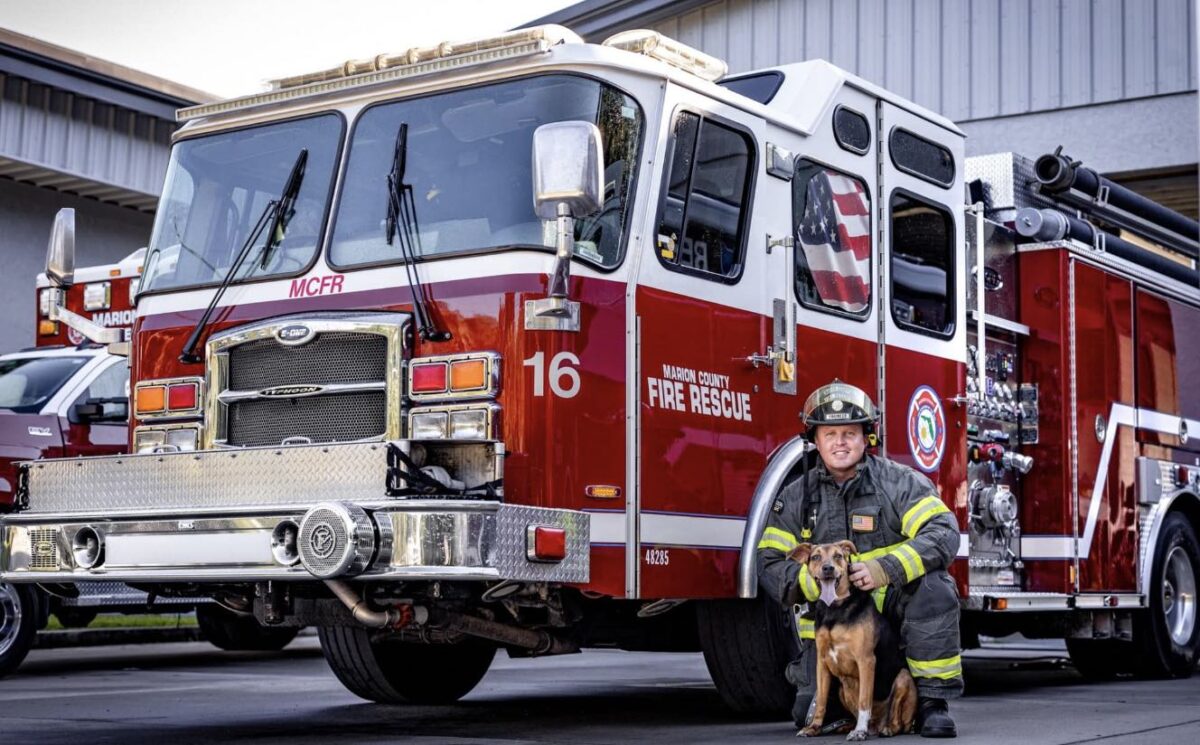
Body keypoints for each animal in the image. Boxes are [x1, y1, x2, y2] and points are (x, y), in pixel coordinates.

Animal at [792, 539, 912, 739]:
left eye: (838, 556)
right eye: (815, 557)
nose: (828, 568)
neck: (835, 609)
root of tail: (877, 725)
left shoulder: (866, 660)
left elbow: (864, 700)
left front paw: (859, 731)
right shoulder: (822, 663)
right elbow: (821, 701)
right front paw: (814, 727)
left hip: (903, 679)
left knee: (898, 721)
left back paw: (885, 728)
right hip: (842, 689)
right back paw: (847, 726)